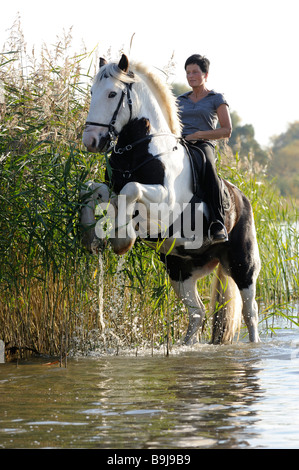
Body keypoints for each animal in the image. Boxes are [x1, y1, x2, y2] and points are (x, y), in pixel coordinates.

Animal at [81, 54, 262, 346]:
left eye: (111, 94)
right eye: (91, 93)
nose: (91, 141)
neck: (140, 150)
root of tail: (242, 198)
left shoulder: (163, 203)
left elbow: (132, 188)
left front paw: (123, 240)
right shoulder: (112, 192)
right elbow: (91, 188)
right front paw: (90, 235)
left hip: (242, 265)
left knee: (250, 312)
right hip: (181, 269)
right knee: (197, 313)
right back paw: (185, 346)